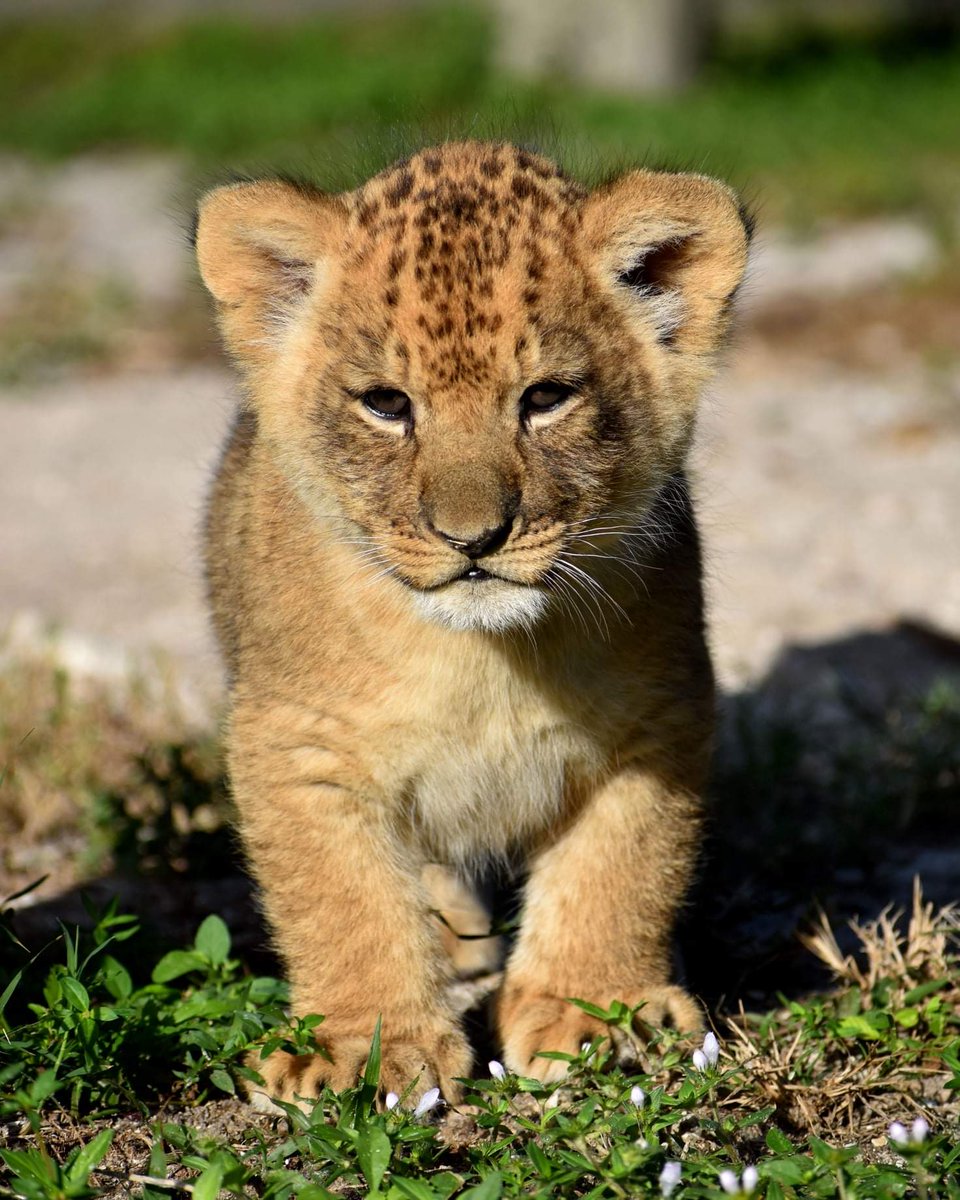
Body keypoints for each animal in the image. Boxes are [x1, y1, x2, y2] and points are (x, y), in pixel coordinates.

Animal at [194, 140, 750, 1107]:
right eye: (386, 404)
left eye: (546, 397)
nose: (473, 537)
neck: (482, 659)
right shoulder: (298, 742)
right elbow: (339, 899)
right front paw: (364, 1043)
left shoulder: (657, 723)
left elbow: (621, 871)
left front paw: (596, 1013)